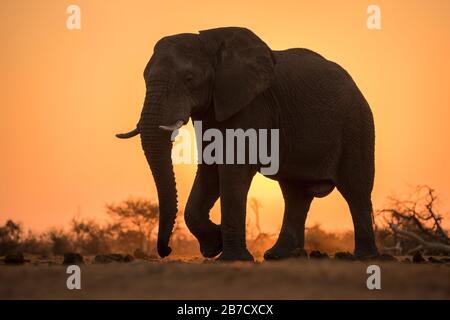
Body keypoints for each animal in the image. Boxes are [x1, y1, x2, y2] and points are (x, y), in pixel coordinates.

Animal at [117, 26, 380, 262]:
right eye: (144, 78)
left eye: (189, 79)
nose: (167, 250)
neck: (212, 44)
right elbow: (210, 168)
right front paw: (214, 245)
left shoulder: (253, 105)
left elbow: (232, 169)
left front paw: (231, 257)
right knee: (295, 193)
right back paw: (279, 255)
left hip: (356, 126)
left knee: (355, 188)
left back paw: (364, 256)